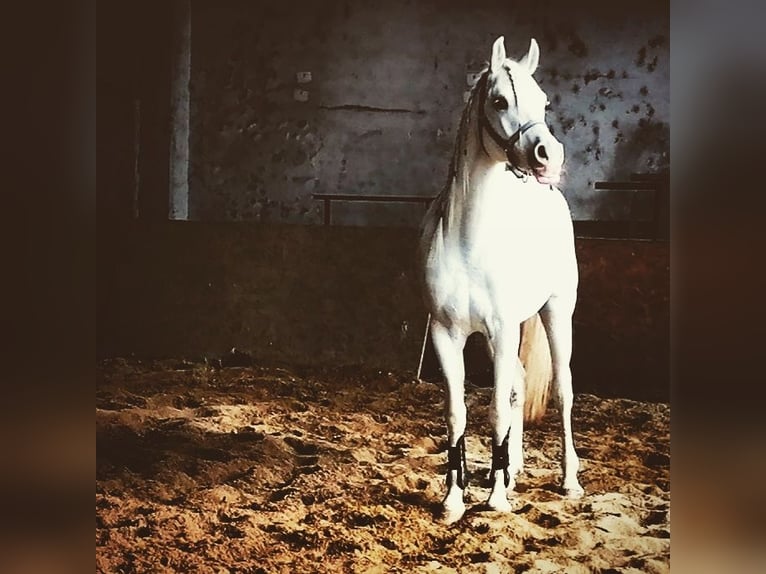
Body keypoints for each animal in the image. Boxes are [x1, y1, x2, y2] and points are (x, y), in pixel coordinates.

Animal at [416, 36, 584, 528]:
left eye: (544, 101)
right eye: (499, 101)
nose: (550, 156)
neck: (470, 240)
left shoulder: (505, 330)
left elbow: (494, 409)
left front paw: (494, 499)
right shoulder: (446, 334)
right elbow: (458, 412)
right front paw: (455, 497)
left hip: (556, 311)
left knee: (562, 389)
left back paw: (568, 480)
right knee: (518, 387)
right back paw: (513, 470)